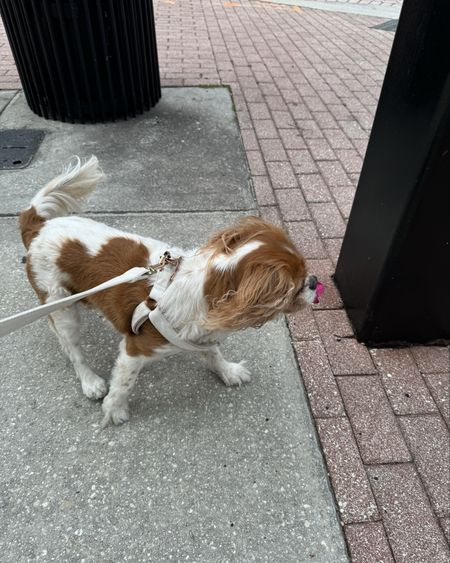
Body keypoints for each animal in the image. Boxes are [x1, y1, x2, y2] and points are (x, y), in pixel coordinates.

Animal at [19, 156, 318, 426]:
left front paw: (228, 372)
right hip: (60, 305)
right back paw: (90, 381)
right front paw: (114, 410)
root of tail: (39, 227)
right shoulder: (134, 349)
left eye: (307, 272)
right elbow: (123, 384)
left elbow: (214, 354)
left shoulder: (201, 336)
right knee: (72, 349)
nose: (315, 281)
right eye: (295, 287)